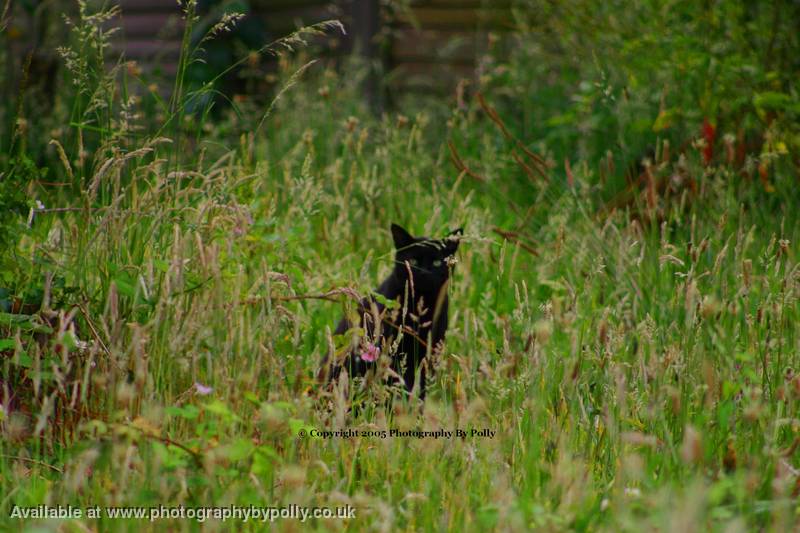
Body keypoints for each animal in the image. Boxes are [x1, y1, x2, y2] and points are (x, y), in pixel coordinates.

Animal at [318, 222, 462, 402]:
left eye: (436, 262)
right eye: (412, 260)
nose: (423, 272)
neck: (419, 308)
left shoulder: (430, 351)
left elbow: (420, 387)